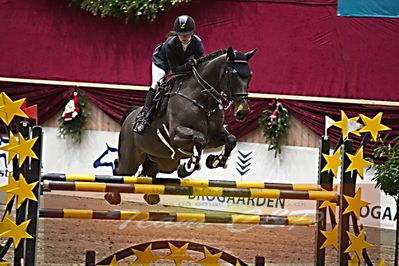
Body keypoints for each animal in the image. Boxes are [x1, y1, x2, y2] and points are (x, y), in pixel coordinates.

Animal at [104, 46, 258, 205]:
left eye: (250, 75)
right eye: (233, 74)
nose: (243, 112)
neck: (202, 100)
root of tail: (131, 114)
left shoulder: (215, 136)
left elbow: (231, 139)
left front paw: (215, 161)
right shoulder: (176, 136)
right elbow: (199, 139)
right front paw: (188, 166)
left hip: (163, 161)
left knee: (151, 171)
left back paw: (152, 196)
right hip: (131, 159)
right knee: (120, 169)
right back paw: (113, 196)